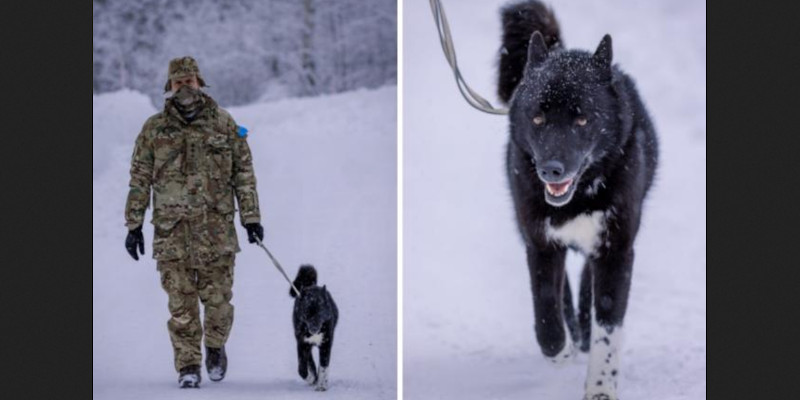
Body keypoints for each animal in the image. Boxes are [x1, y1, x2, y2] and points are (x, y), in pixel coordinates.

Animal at [290, 264, 338, 392]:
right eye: (306, 312)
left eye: (320, 312)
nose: (314, 329)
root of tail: (310, 285)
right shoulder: (302, 344)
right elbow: (302, 368)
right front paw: (310, 378)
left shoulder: (326, 345)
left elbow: (323, 367)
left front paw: (321, 386)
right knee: (309, 362)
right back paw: (312, 378)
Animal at [496, 1, 660, 398]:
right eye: (538, 118)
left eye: (583, 120)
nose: (551, 170)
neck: (580, 196)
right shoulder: (539, 245)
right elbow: (546, 314)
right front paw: (561, 350)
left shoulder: (617, 251)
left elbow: (608, 329)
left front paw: (601, 386)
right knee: (564, 293)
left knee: (587, 281)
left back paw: (583, 330)